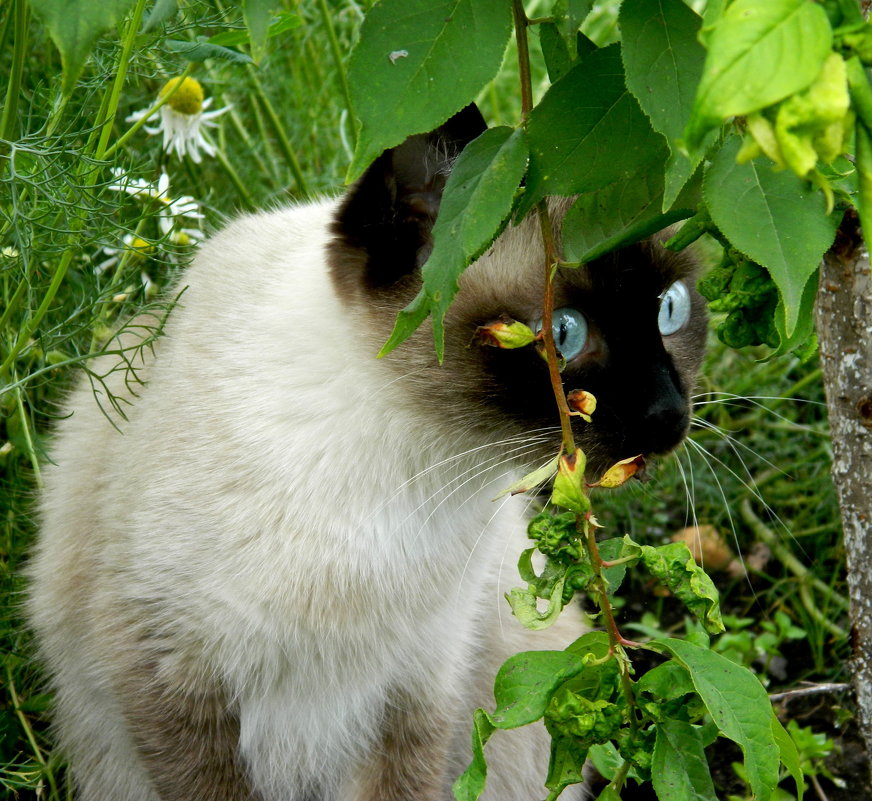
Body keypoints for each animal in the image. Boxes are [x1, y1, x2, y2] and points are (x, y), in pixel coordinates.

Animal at [27, 106, 708, 800]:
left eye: (671, 310)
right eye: (564, 333)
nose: (668, 417)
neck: (414, 471)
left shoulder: (417, 694)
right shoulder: (168, 668)